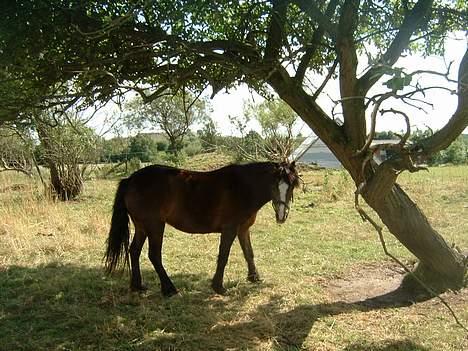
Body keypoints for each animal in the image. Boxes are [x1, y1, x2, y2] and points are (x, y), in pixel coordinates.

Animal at [104, 161, 298, 296]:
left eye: (291, 186)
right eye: (274, 185)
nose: (282, 215)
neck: (242, 187)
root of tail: (131, 179)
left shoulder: (243, 229)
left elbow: (248, 253)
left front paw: (254, 278)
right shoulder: (230, 230)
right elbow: (223, 257)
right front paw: (218, 286)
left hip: (142, 226)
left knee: (134, 251)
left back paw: (137, 285)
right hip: (155, 226)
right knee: (154, 255)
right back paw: (169, 289)